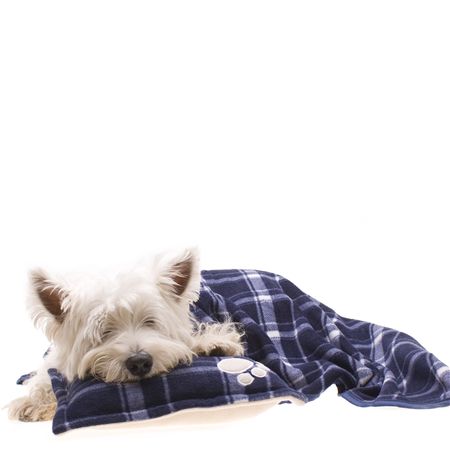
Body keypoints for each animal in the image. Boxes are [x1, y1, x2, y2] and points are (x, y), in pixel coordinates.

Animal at [8, 248, 244, 421]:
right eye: (104, 331)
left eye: (150, 322)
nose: (139, 362)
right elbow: (44, 377)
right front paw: (34, 403)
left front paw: (213, 344)